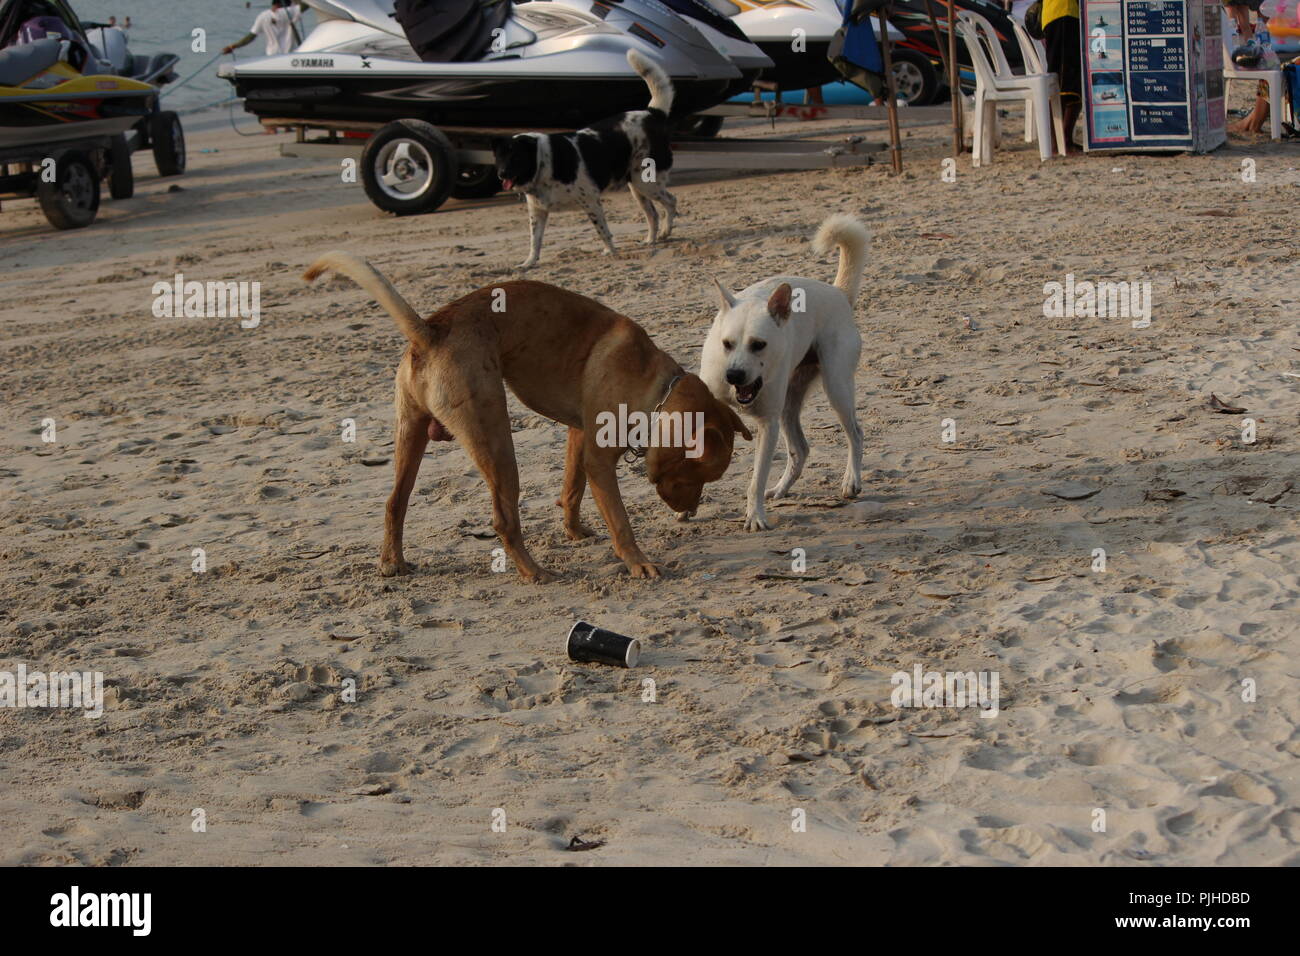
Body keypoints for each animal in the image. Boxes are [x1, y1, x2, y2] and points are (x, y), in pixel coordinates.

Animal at [301, 254, 754, 580]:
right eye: (696, 475)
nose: (690, 513)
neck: (657, 389)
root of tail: (430, 331)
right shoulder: (599, 461)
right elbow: (621, 523)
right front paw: (637, 562)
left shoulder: (578, 437)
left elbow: (571, 490)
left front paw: (575, 531)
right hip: (497, 446)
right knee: (504, 520)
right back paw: (534, 572)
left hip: (410, 437)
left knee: (395, 502)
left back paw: (392, 563)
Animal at [493, 51, 681, 270]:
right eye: (499, 158)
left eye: (516, 157)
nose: (501, 174)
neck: (543, 164)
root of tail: (653, 114)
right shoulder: (538, 212)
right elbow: (535, 242)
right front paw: (528, 263)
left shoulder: (591, 201)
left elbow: (603, 232)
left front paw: (612, 253)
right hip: (637, 187)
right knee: (653, 214)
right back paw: (651, 240)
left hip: (646, 183)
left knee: (670, 202)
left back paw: (666, 232)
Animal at [696, 214, 868, 530]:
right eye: (727, 344)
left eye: (758, 345)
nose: (733, 375)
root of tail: (838, 293)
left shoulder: (768, 425)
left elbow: (756, 480)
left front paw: (755, 517)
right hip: (790, 403)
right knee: (800, 450)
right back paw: (780, 489)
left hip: (836, 388)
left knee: (856, 433)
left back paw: (851, 481)